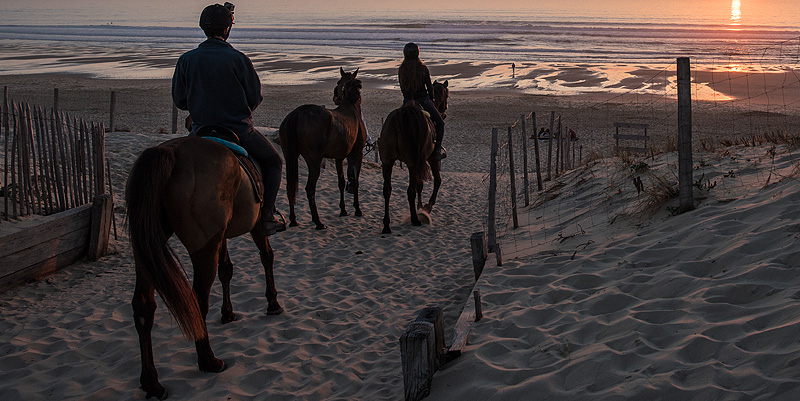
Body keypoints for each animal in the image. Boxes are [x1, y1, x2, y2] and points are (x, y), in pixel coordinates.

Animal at [125, 136, 284, 398]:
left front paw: (228, 313)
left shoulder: (222, 236)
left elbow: (227, 269)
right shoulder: (255, 225)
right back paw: (209, 360)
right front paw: (273, 303)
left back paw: (152, 382)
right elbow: (266, 257)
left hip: (146, 245)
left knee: (143, 307)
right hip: (204, 247)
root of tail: (171, 151)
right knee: (197, 301)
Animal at [280, 68, 368, 228]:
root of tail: (297, 113)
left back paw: (293, 220)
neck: (351, 107)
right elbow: (356, 181)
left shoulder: (339, 158)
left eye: (338, 82)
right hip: (314, 161)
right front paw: (357, 209)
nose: (335, 96)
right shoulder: (356, 155)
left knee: (290, 187)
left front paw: (343, 210)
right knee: (310, 188)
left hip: (290, 157)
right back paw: (318, 221)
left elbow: (341, 182)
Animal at [376, 79, 446, 233]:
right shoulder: (431, 159)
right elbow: (437, 181)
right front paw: (427, 206)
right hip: (412, 162)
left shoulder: (419, 161)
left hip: (388, 162)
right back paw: (415, 219)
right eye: (447, 95)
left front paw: (421, 206)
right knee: (410, 191)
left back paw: (386, 225)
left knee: (387, 190)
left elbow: (419, 184)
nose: (443, 112)